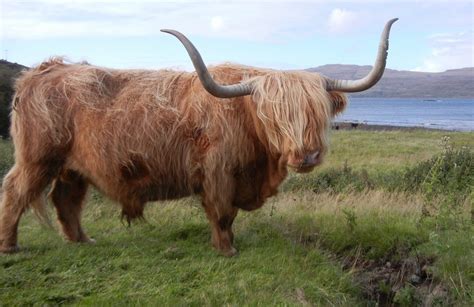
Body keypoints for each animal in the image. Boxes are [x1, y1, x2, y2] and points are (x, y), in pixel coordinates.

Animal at [0, 18, 398, 256]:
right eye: (272, 117)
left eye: (319, 112)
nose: (306, 156)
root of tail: (44, 69)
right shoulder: (218, 173)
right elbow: (222, 214)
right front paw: (227, 250)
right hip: (37, 157)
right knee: (16, 190)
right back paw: (10, 246)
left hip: (74, 166)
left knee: (67, 199)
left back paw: (83, 240)